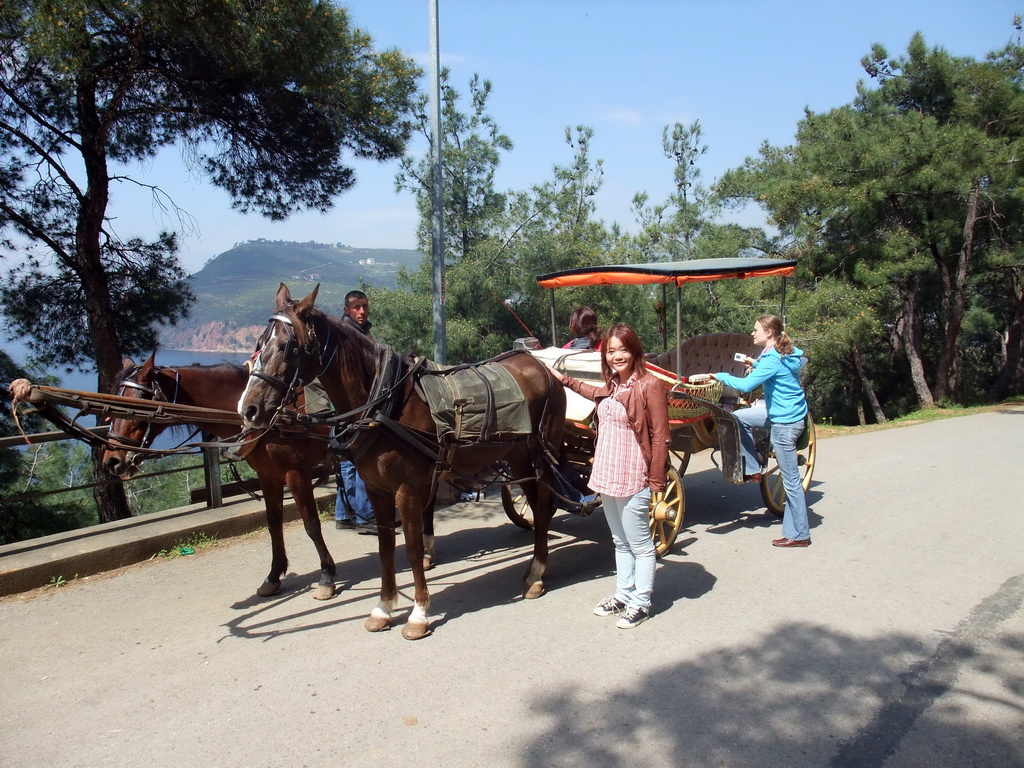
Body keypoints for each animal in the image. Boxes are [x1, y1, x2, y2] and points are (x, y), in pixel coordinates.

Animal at [103, 354, 344, 602]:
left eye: (131, 406)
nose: (111, 460)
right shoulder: (267, 475)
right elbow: (273, 524)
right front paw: (273, 576)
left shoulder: (296, 473)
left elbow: (311, 525)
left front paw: (326, 575)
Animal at [238, 286, 569, 638]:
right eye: (260, 342)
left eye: (289, 347)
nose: (249, 409)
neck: (384, 401)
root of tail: (540, 366)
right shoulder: (376, 488)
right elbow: (386, 548)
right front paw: (383, 608)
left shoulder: (406, 489)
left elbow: (411, 549)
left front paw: (419, 613)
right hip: (518, 458)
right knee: (537, 505)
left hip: (542, 453)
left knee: (543, 507)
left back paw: (536, 574)